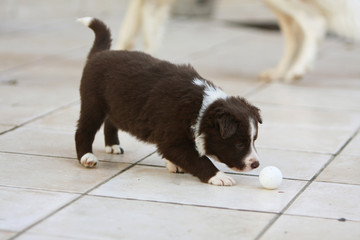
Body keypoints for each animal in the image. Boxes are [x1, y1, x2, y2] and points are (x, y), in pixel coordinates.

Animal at [76, 17, 262, 186]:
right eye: (239, 144)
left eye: (254, 140)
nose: (256, 164)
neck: (200, 108)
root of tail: (99, 54)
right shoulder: (173, 138)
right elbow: (198, 159)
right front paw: (219, 177)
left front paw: (174, 165)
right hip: (93, 103)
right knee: (83, 130)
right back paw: (86, 157)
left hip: (115, 106)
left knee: (111, 121)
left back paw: (113, 145)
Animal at [114, 0, 360, 82]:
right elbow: (128, 32)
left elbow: (145, 36)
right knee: (294, 31)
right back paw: (279, 72)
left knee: (314, 23)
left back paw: (297, 70)